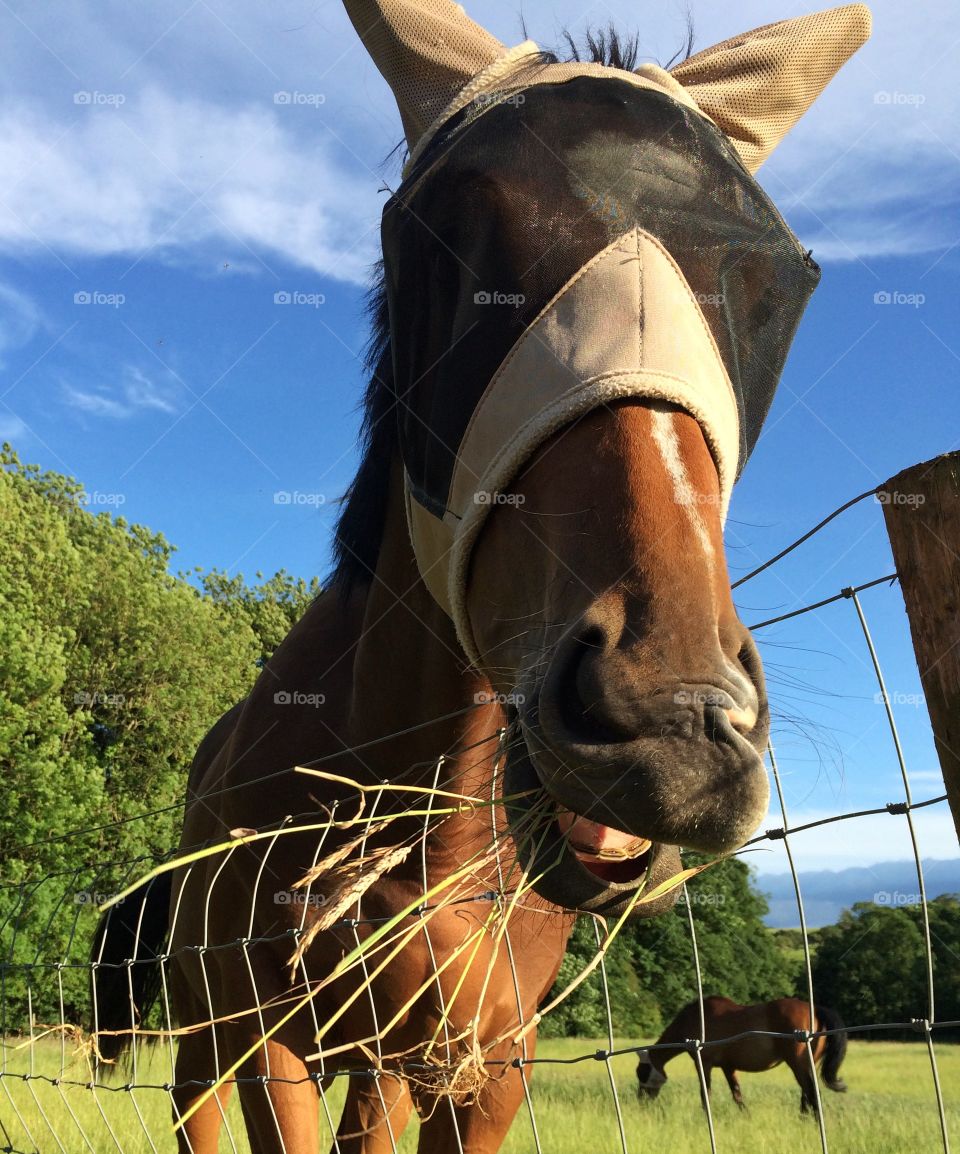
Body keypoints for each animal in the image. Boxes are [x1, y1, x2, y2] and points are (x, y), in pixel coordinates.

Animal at [636, 997, 849, 1112]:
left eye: (641, 1073)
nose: (641, 1101)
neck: (694, 1019)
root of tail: (814, 1009)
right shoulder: (728, 1067)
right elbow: (737, 1095)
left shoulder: (703, 1063)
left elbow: (706, 1094)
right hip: (806, 1065)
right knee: (807, 1095)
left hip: (798, 1065)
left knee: (812, 1093)